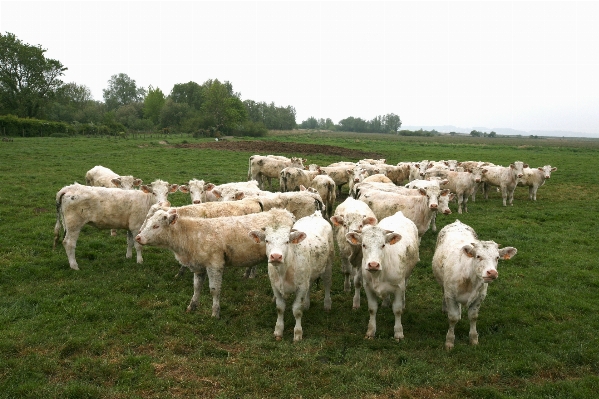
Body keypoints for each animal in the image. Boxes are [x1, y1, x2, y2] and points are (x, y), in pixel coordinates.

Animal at [135, 209, 296, 318]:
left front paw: (215, 313)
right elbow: (197, 287)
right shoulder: (199, 267)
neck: (192, 236)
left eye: (156, 226)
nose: (138, 237)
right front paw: (192, 306)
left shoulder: (215, 265)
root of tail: (285, 212)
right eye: (148, 222)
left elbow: (214, 290)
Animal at [247, 212, 332, 344]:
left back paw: (327, 304)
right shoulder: (275, 287)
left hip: (328, 263)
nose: (276, 256)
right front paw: (278, 331)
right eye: (267, 240)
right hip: (309, 274)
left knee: (327, 283)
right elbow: (280, 308)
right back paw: (306, 304)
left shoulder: (301, 287)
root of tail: (315, 215)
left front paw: (297, 333)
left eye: (287, 241)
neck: (284, 271)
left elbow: (297, 310)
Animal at [344, 212, 420, 340]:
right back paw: (385, 302)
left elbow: (397, 310)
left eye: (383, 245)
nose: (373, 264)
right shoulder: (368, 287)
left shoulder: (398, 287)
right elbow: (372, 309)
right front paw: (370, 331)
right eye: (363, 245)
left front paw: (398, 332)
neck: (379, 275)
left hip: (407, 275)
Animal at [434, 220, 516, 352]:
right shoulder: (450, 296)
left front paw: (473, 339)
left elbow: (473, 317)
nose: (492, 273)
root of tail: (457, 222)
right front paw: (449, 341)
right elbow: (453, 318)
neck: (469, 279)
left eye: (497, 257)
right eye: (478, 256)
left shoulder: (480, 297)